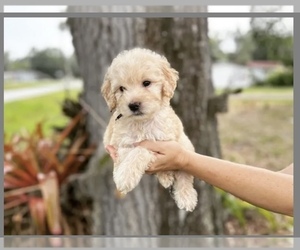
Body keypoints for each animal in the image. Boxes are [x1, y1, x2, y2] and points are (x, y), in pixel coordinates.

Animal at [102, 47, 198, 211]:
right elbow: (131, 152)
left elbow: (141, 150)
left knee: (185, 173)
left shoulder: (163, 142)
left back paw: (186, 196)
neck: (142, 122)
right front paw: (123, 175)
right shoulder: (121, 143)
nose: (133, 105)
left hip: (185, 143)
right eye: (121, 89)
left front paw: (125, 176)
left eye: (146, 83)